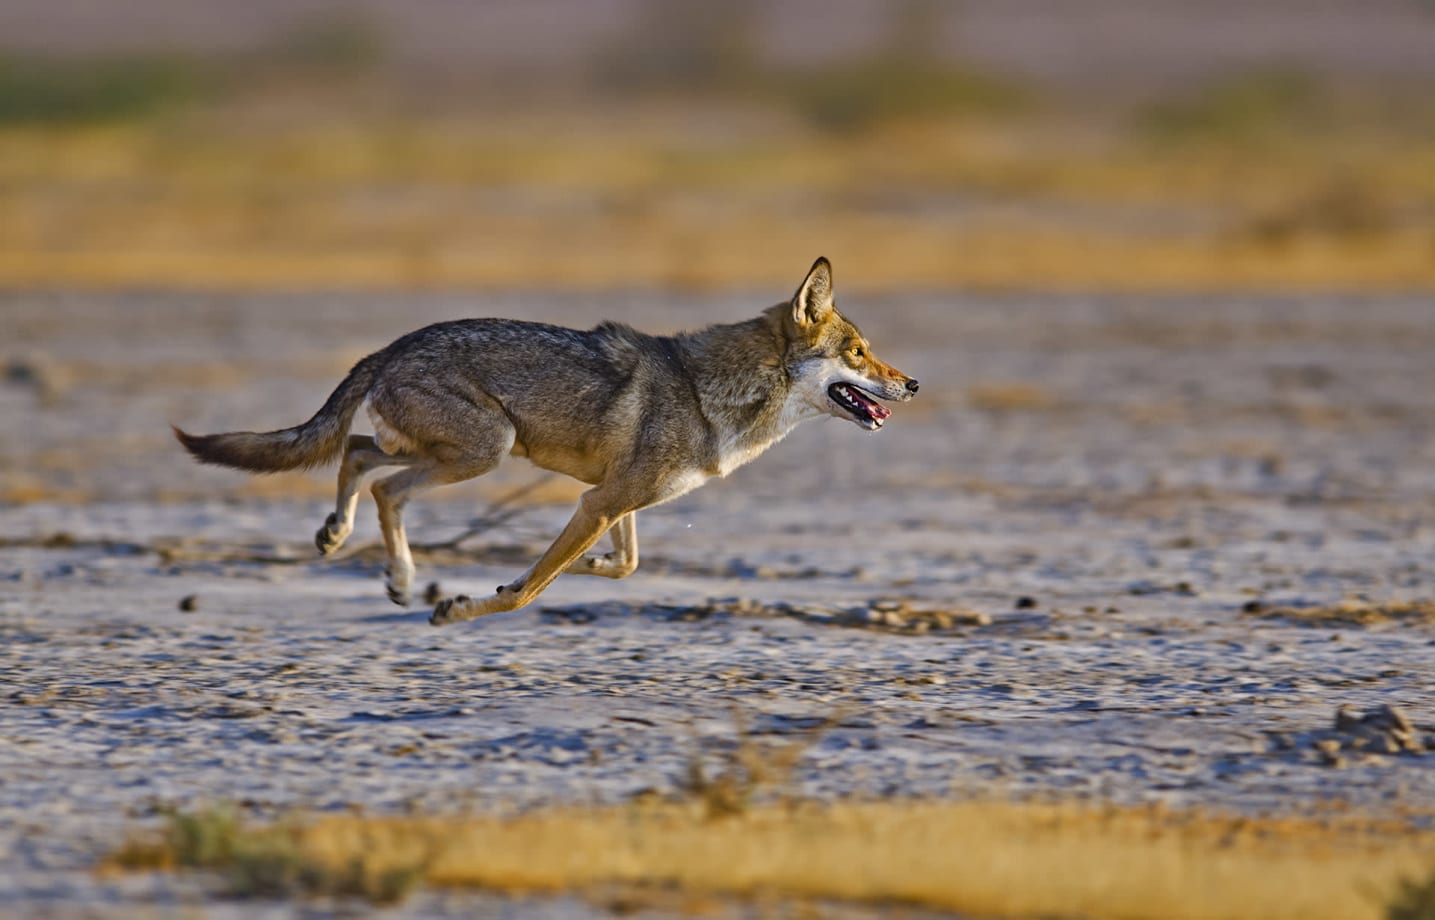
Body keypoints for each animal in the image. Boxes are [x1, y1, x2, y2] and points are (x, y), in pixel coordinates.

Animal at [175, 257, 918, 626]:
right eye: (857, 352)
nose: (912, 383)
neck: (715, 395)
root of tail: (391, 346)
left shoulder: (612, 502)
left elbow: (622, 565)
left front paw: (580, 565)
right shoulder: (602, 502)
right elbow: (530, 590)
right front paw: (459, 608)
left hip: (456, 451)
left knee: (359, 453)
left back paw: (350, 546)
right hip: (486, 449)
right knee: (380, 479)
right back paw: (400, 576)